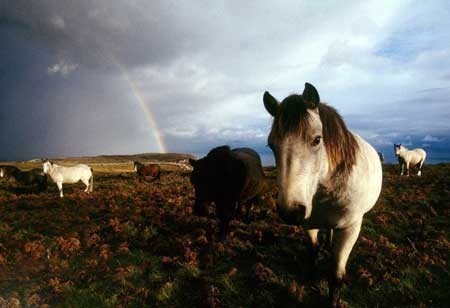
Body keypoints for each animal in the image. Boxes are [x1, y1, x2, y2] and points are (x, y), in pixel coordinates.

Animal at [264, 82, 384, 306]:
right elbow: (312, 250)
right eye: (271, 145)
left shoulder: (349, 229)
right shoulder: (308, 224)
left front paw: (333, 301)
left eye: (317, 139)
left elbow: (336, 273)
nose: (290, 212)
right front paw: (310, 277)